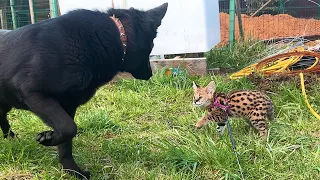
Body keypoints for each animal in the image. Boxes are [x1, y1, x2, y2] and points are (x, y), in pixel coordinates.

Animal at [0, 2, 169, 179]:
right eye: (152, 45)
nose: (150, 74)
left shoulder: (68, 106)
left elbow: (67, 142)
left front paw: (73, 171)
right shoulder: (34, 94)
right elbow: (68, 127)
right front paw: (48, 138)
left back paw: (11, 140)